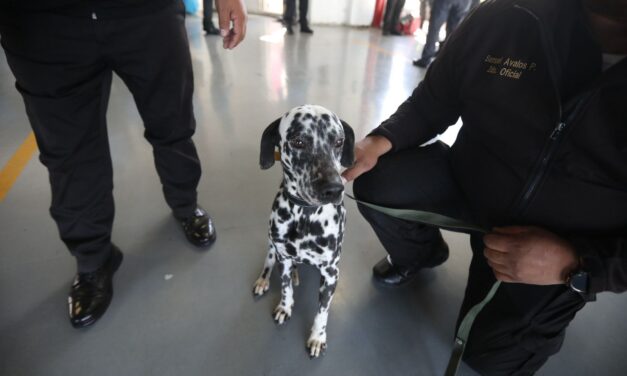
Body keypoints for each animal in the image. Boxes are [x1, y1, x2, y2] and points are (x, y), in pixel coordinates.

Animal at [254, 105, 354, 358]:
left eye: (339, 141)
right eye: (298, 142)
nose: (334, 189)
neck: (306, 216)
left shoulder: (331, 273)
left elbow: (322, 311)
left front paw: (318, 337)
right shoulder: (284, 257)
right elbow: (286, 288)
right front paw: (285, 307)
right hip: (272, 246)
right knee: (269, 263)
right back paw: (264, 280)